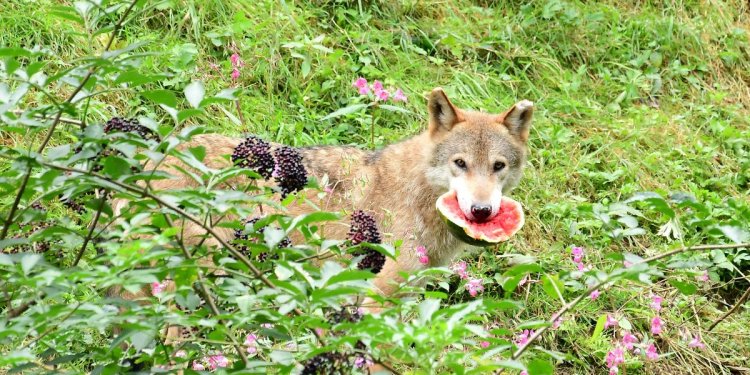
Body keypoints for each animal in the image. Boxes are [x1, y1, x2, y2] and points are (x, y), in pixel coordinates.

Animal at [123, 87, 536, 302]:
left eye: (498, 166)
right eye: (460, 163)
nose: (482, 211)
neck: (417, 196)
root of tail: (149, 161)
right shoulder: (376, 299)